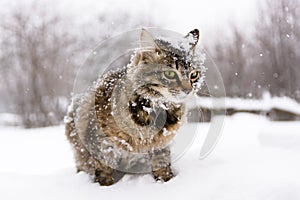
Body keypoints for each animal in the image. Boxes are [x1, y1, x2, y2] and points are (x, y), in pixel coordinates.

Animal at [64, 28, 203, 186]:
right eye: (170, 74)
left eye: (194, 74)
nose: (188, 90)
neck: (156, 110)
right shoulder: (101, 143)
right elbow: (104, 171)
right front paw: (106, 187)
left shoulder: (160, 146)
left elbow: (162, 165)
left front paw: (166, 182)